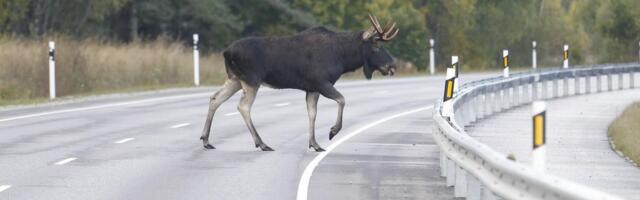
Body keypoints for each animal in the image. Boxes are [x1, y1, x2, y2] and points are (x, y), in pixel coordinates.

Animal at [200, 13, 400, 152]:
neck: (343, 58)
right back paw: (262, 143)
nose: (392, 65)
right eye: (376, 45)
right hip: (251, 80)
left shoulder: (311, 88)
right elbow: (342, 100)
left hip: (235, 79)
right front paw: (332, 131)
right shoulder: (321, 82)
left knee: (215, 99)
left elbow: (312, 113)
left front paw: (315, 144)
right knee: (243, 106)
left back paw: (206, 140)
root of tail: (226, 52)